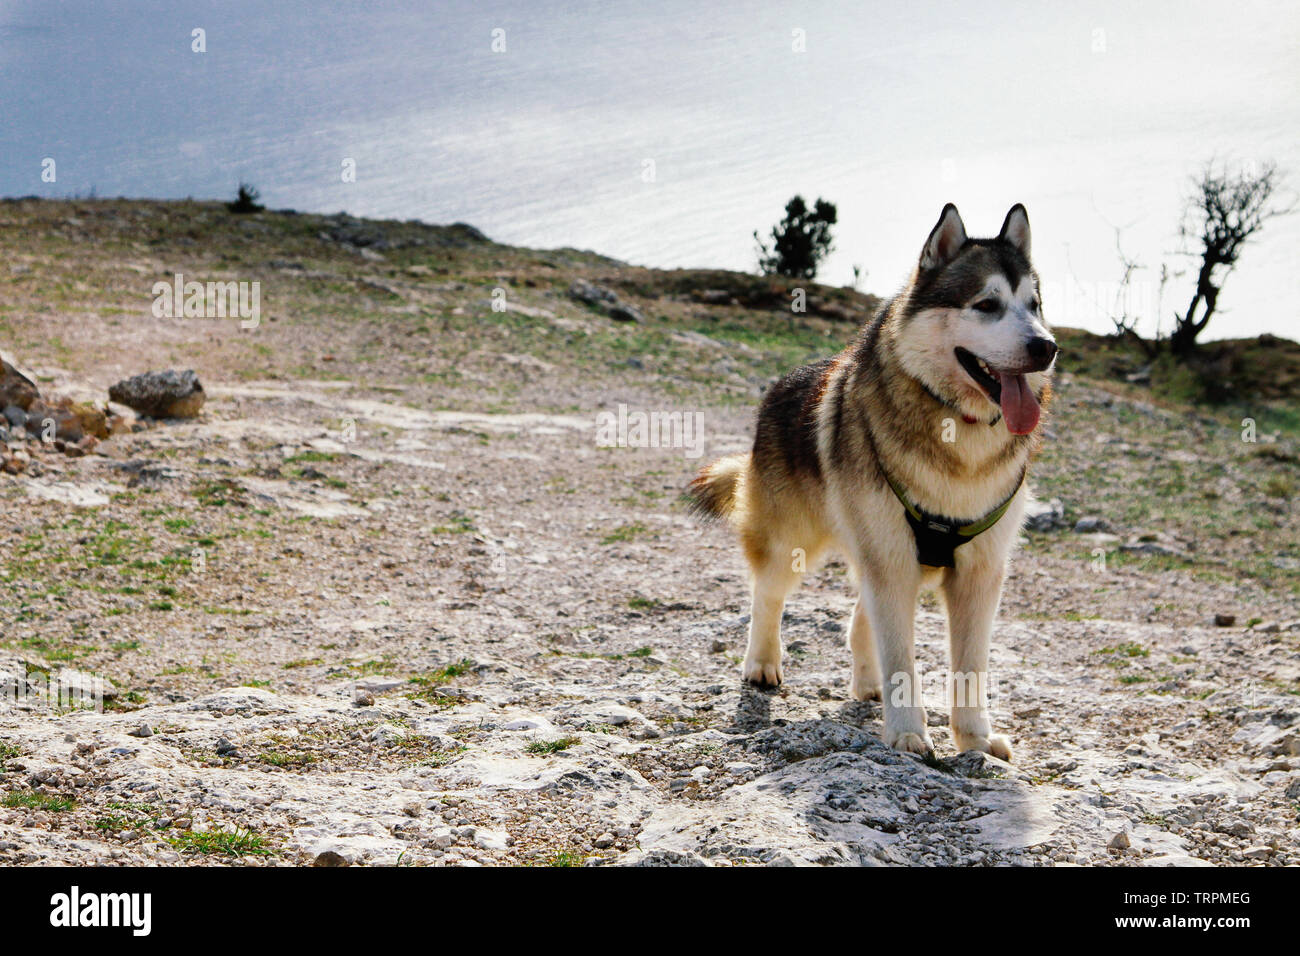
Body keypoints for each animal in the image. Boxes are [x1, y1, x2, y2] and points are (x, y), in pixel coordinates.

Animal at [691, 205, 1055, 759]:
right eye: (987, 304)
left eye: (1033, 306)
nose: (1046, 346)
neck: (959, 436)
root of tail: (780, 384)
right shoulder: (892, 558)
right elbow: (901, 655)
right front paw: (907, 732)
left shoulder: (979, 572)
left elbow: (969, 667)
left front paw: (974, 738)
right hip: (793, 542)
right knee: (767, 596)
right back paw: (762, 664)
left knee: (862, 620)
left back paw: (868, 683)